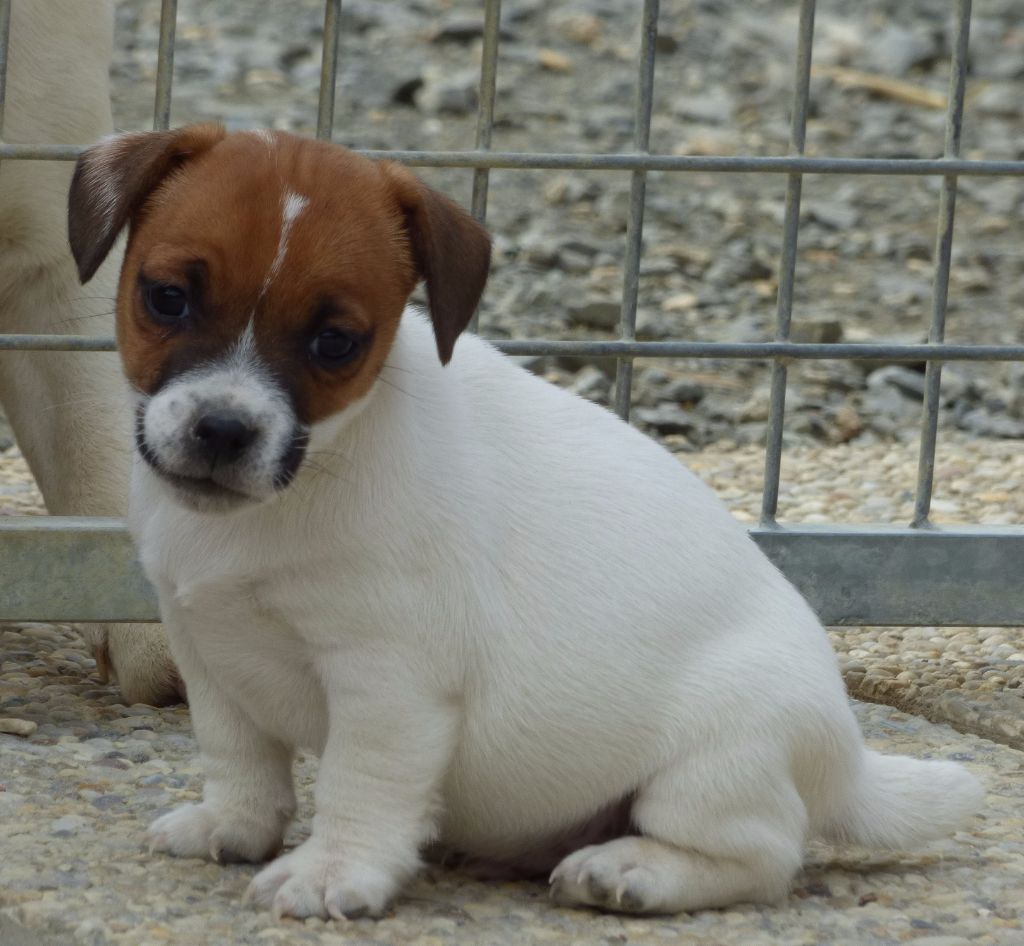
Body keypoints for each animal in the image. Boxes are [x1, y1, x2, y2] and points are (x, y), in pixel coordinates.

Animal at [66, 123, 982, 920]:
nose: (223, 429)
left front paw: (331, 871)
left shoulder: (389, 683)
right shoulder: (209, 652)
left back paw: (631, 872)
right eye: (167, 298)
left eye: (335, 342)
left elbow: (360, 786)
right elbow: (238, 756)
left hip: (715, 764)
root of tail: (848, 761)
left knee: (763, 855)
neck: (302, 482)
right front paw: (235, 826)